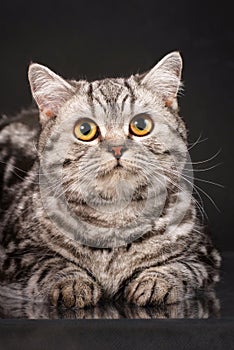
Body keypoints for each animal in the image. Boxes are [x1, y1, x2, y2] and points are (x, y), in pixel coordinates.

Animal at [0, 50, 221, 308]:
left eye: (141, 125)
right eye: (84, 129)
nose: (117, 148)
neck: (115, 217)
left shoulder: (204, 255)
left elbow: (180, 267)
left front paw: (156, 281)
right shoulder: (15, 257)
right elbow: (50, 264)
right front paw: (72, 282)